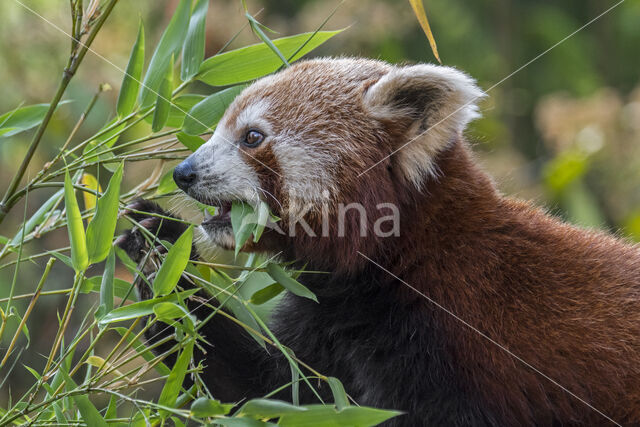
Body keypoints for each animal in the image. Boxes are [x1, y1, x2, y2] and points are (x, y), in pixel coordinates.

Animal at [119, 58, 640, 426]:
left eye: (251, 137)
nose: (183, 173)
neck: (401, 259)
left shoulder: (456, 342)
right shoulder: (325, 319)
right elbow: (270, 393)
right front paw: (156, 247)